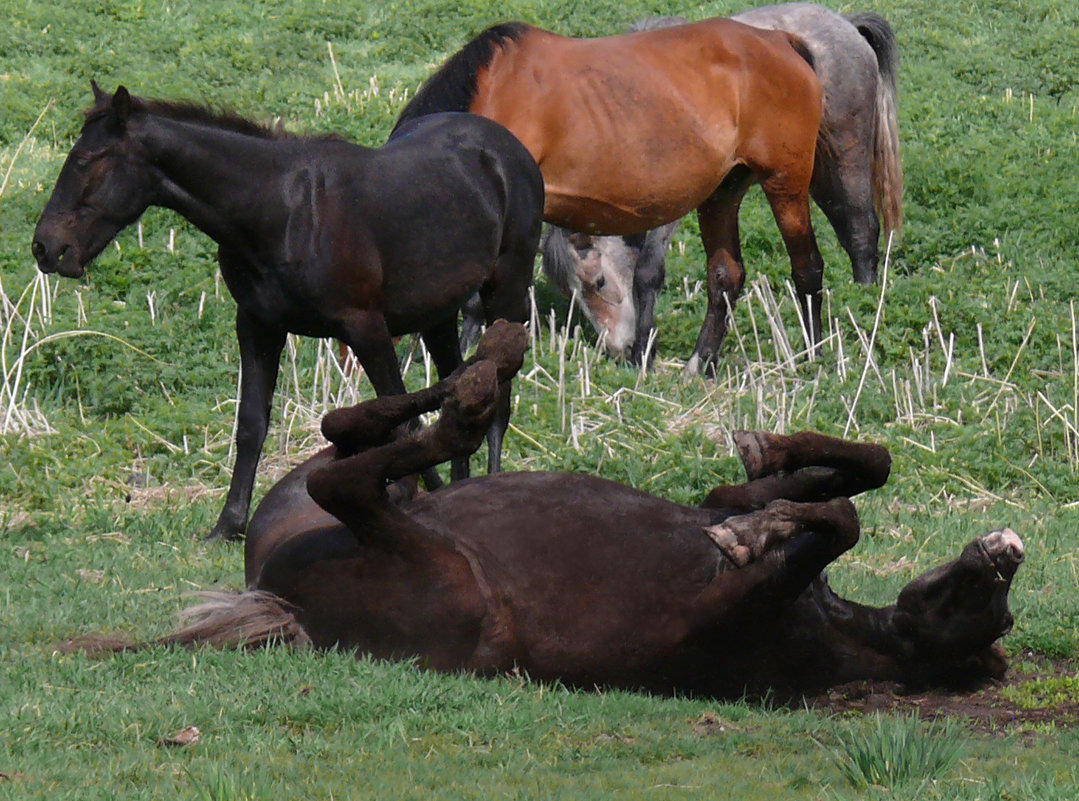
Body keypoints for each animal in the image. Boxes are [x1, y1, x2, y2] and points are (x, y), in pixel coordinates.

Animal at [33, 84, 548, 541]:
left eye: (85, 161)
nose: (47, 247)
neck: (282, 211)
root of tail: (509, 149)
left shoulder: (365, 326)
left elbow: (399, 417)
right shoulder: (257, 326)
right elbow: (251, 424)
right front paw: (227, 526)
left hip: (506, 293)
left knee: (499, 400)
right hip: (438, 314)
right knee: (462, 382)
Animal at [71, 323, 1022, 695]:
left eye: (990, 611)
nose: (1003, 553)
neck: (828, 623)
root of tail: (282, 603)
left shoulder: (738, 608)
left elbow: (836, 521)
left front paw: (753, 533)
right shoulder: (736, 505)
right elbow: (862, 469)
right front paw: (768, 457)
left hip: (441, 573)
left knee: (351, 474)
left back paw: (471, 394)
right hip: (338, 505)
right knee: (347, 433)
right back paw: (483, 368)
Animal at [397, 16, 824, 375]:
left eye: (600, 282)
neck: (493, 95)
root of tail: (780, 41)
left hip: (784, 183)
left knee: (807, 267)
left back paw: (814, 358)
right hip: (722, 195)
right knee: (725, 277)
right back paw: (698, 364)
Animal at [543, 5, 906, 364]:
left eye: (599, 282)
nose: (618, 349)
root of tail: (846, 23)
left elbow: (647, 272)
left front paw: (644, 353)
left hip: (844, 156)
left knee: (861, 232)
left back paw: (866, 303)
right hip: (814, 173)